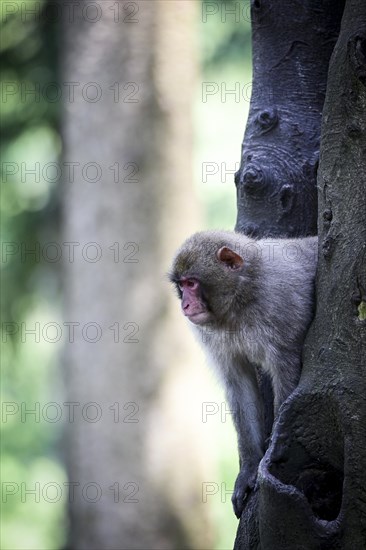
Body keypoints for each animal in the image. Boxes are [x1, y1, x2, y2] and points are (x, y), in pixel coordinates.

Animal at [169, 231, 318, 520]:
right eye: (181, 285)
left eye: (192, 283)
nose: (185, 305)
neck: (242, 296)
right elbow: (238, 383)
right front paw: (249, 468)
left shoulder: (280, 305)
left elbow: (287, 369)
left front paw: (275, 448)